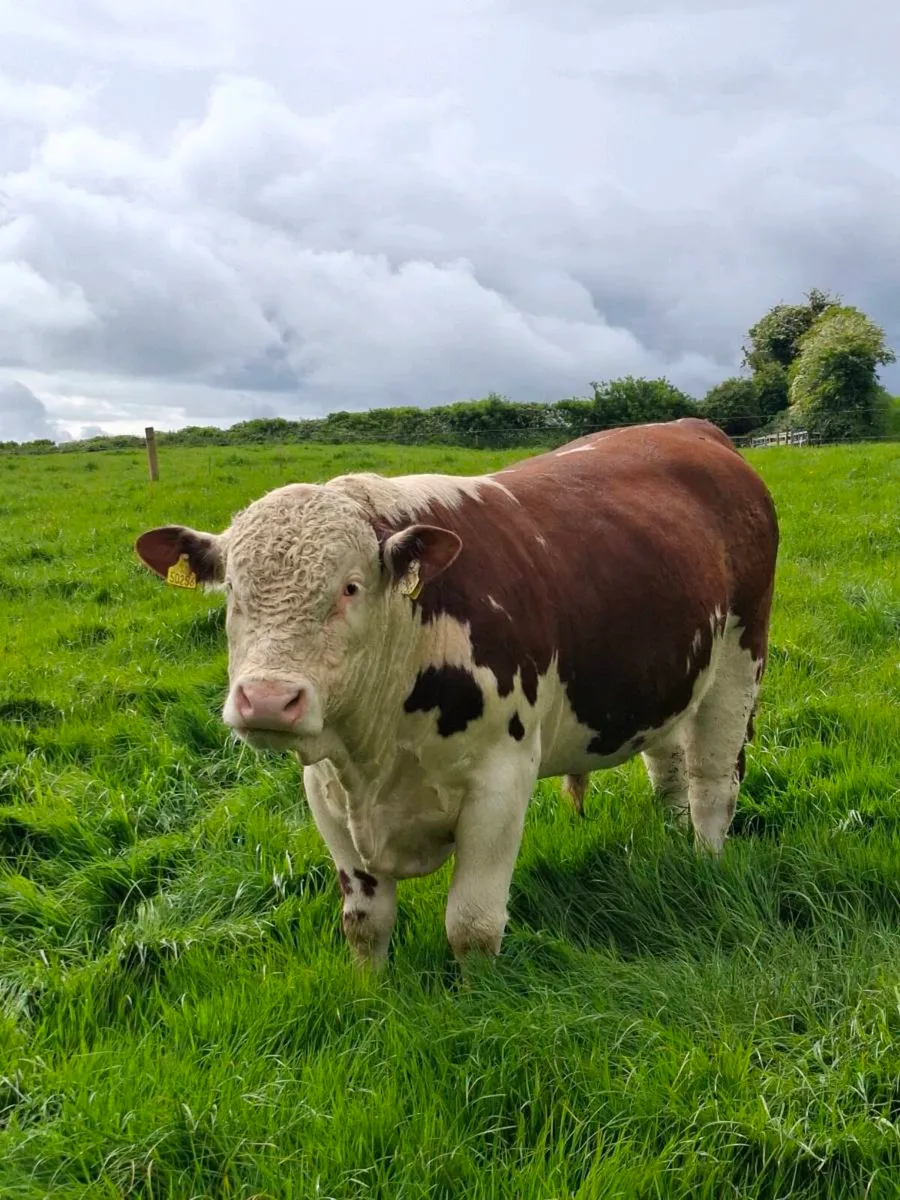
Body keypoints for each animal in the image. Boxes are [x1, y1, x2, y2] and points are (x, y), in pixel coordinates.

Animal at [134, 417, 778, 969]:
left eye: (350, 587)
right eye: (232, 591)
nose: (268, 700)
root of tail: (691, 427)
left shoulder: (501, 782)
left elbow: (472, 926)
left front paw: (478, 1002)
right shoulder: (324, 789)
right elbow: (363, 923)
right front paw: (370, 995)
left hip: (739, 661)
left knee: (713, 782)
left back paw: (703, 866)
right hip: (663, 675)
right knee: (666, 766)